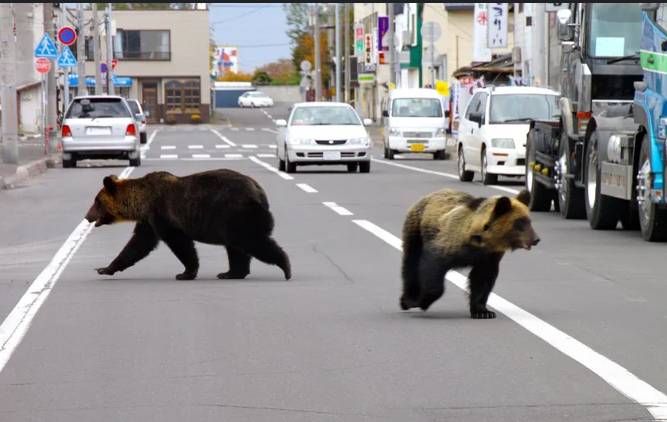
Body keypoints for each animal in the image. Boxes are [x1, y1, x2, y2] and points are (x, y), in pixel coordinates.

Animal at [84, 169, 291, 281]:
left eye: (97, 201)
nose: (87, 216)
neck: (142, 202)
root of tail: (259, 192)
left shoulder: (162, 214)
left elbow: (180, 243)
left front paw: (185, 272)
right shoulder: (148, 221)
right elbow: (137, 244)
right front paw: (105, 268)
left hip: (236, 213)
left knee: (251, 241)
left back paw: (285, 266)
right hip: (231, 221)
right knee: (236, 247)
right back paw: (230, 273)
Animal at [399, 188, 539, 319]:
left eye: (529, 220)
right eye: (520, 221)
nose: (536, 239)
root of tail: (430, 195)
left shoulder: (488, 257)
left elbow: (482, 280)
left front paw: (483, 312)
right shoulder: (448, 243)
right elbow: (432, 266)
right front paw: (422, 301)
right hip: (416, 229)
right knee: (411, 262)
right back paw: (407, 300)